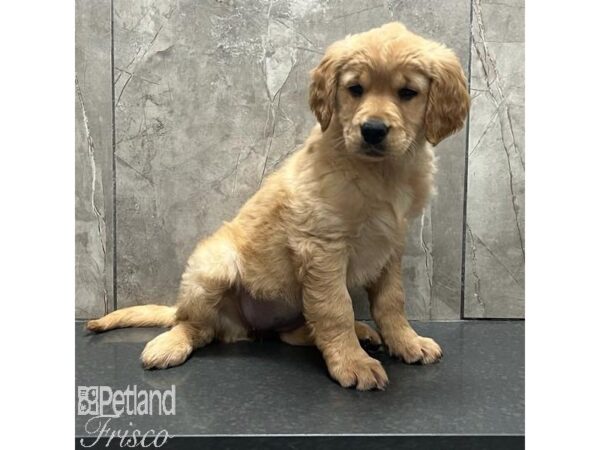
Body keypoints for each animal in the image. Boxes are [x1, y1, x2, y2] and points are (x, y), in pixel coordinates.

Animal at [89, 22, 472, 390]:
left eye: (407, 93)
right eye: (355, 89)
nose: (373, 130)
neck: (381, 172)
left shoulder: (389, 244)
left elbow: (391, 301)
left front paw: (407, 342)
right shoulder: (322, 245)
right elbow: (336, 308)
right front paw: (353, 363)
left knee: (292, 331)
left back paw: (358, 333)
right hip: (212, 268)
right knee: (196, 326)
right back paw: (170, 343)